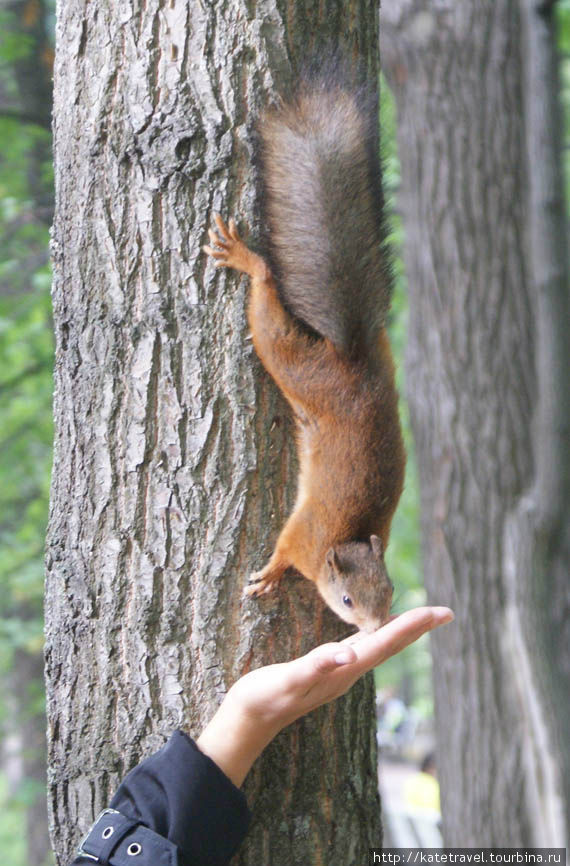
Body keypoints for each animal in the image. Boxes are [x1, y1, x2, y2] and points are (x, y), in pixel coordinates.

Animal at [203, 59, 404, 628]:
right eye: (347, 600)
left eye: (390, 593)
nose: (376, 628)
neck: (348, 536)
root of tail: (352, 359)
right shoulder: (303, 536)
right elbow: (282, 551)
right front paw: (269, 576)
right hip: (293, 363)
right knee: (268, 303)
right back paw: (247, 260)